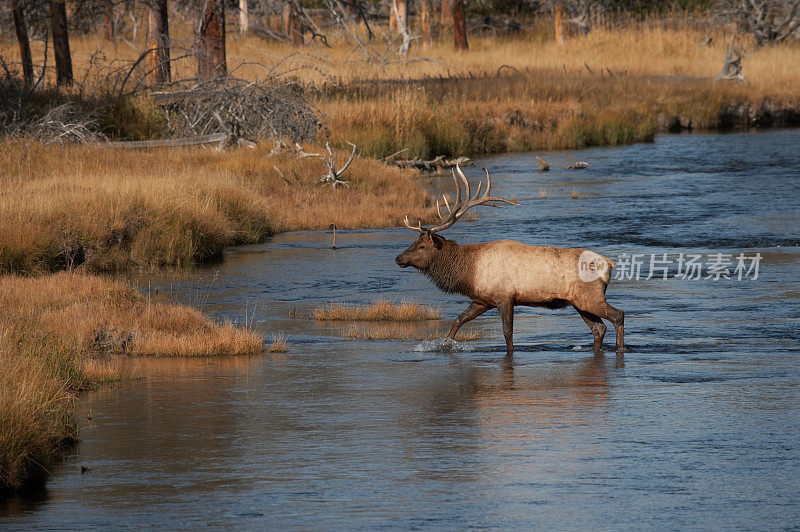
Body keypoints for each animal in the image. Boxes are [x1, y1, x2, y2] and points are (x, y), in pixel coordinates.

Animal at [396, 166, 624, 358]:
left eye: (421, 246)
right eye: (414, 242)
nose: (399, 258)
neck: (469, 271)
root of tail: (609, 264)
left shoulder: (504, 296)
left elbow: (508, 332)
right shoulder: (482, 300)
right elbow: (458, 320)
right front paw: (445, 345)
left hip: (590, 297)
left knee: (617, 315)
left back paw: (620, 349)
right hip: (579, 302)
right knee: (599, 328)